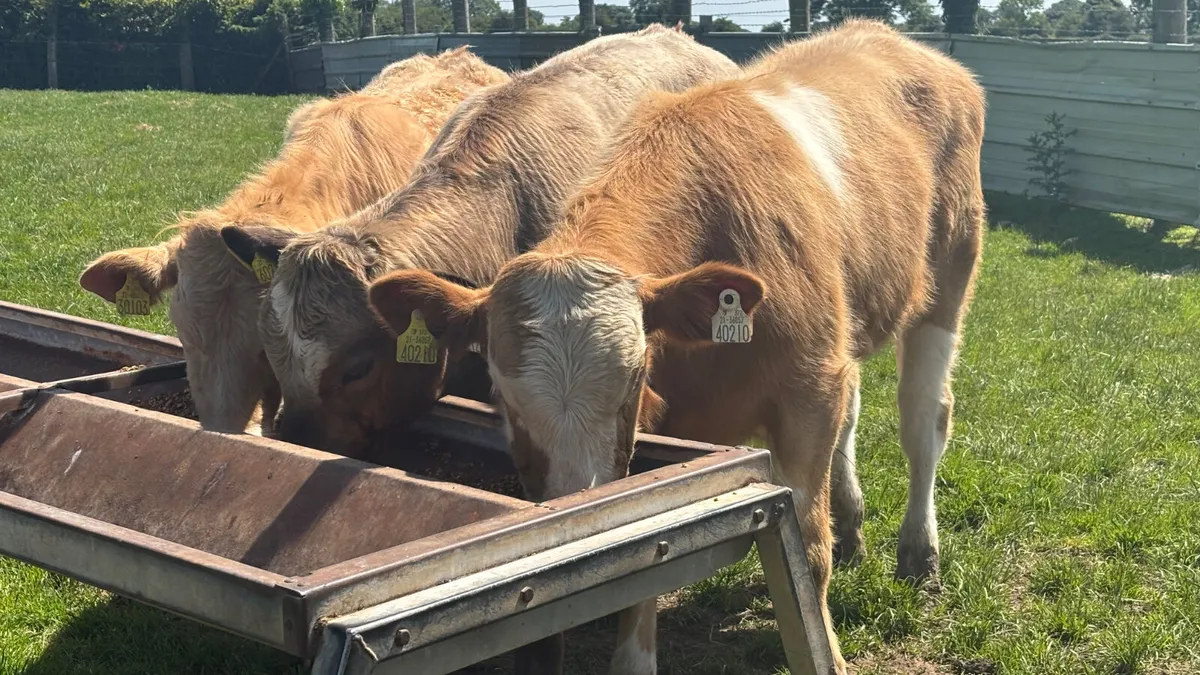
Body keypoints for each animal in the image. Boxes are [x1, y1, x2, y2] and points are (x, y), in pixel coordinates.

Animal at [367, 20, 987, 675]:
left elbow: (809, 543)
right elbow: (652, 535)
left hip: (951, 271)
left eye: (631, 379)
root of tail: (891, 39)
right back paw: (854, 524)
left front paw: (829, 650)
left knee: (923, 418)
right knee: (856, 410)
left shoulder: (808, 390)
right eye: (503, 400)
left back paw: (919, 550)